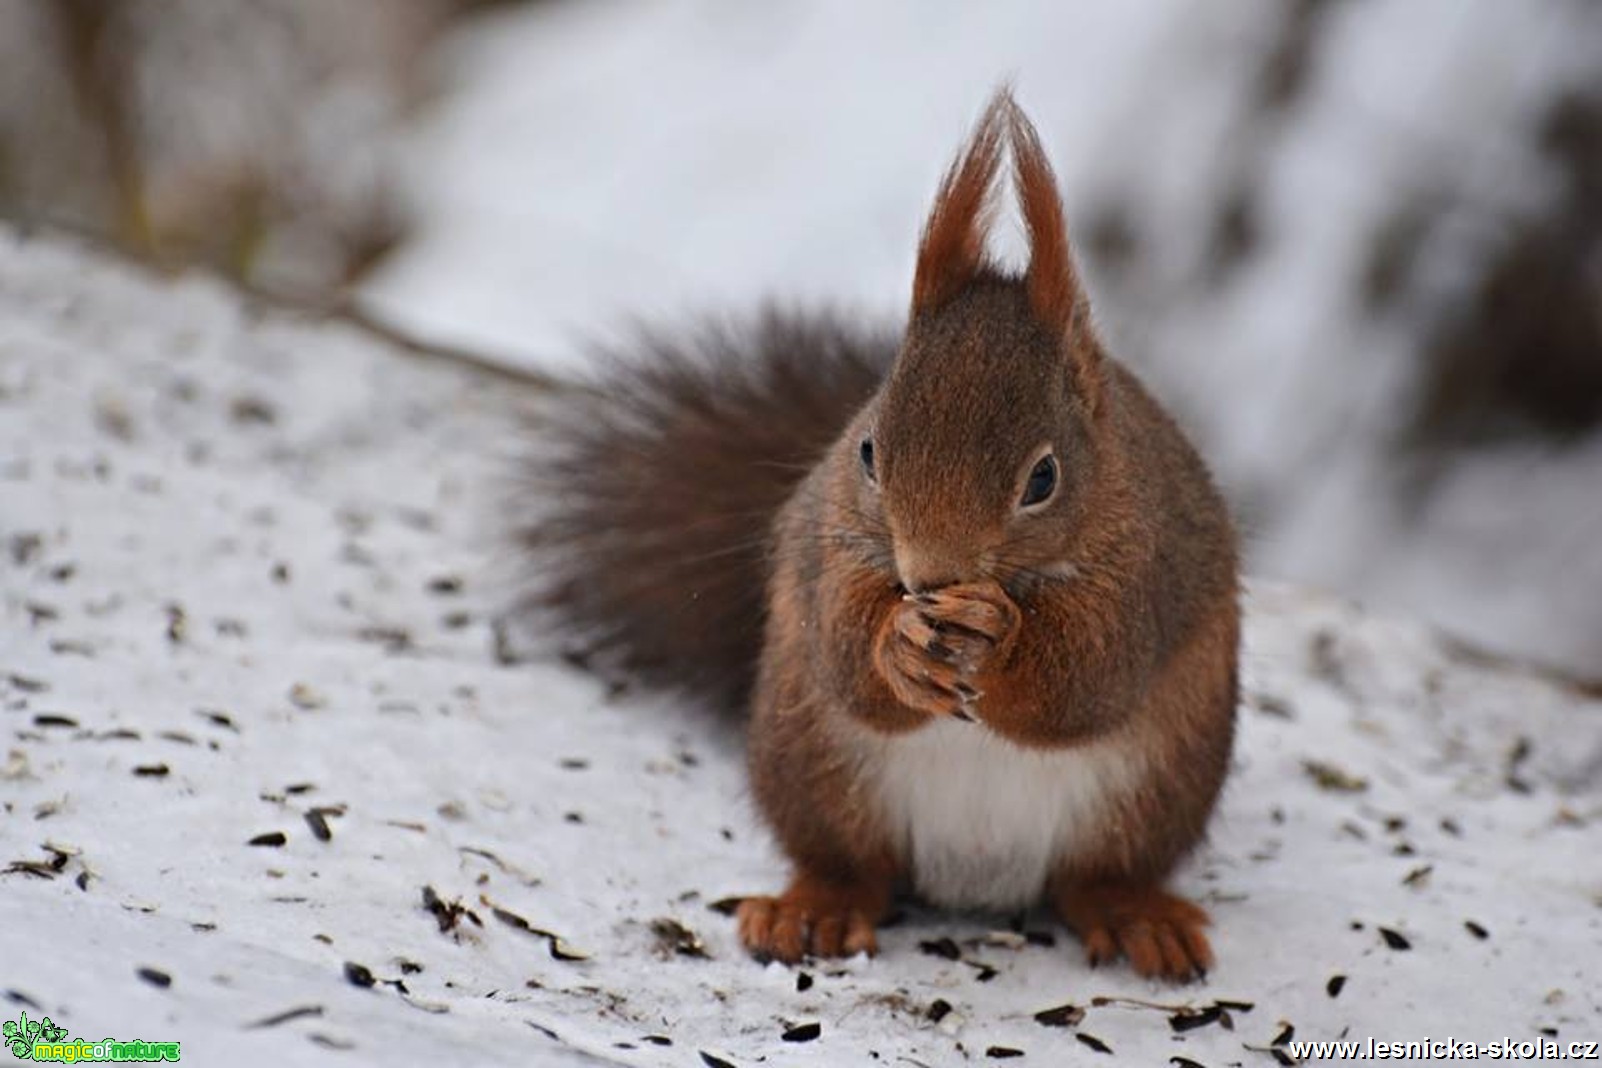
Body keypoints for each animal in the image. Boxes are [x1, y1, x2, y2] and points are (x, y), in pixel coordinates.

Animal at [512, 92, 1236, 986]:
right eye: (866, 452)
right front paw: (900, 642)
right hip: (814, 765)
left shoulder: (1146, 571)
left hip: (1153, 795)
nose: (929, 575)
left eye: (1044, 479)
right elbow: (845, 646)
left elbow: (1089, 676)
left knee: (1096, 879)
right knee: (855, 866)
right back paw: (813, 911)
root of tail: (977, 878)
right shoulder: (829, 547)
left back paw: (1138, 918)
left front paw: (1000, 641)